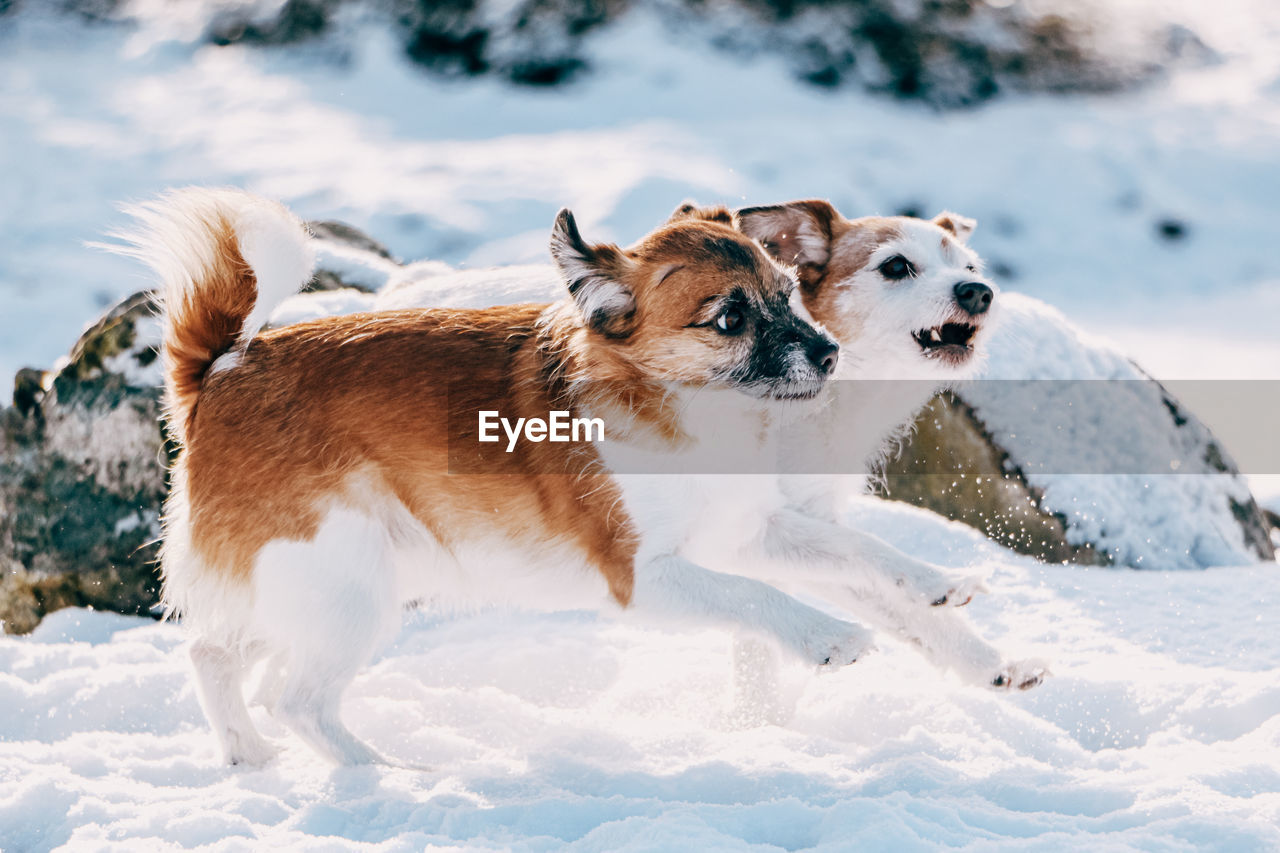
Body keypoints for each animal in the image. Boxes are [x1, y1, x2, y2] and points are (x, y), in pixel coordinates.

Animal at [120, 188, 875, 763]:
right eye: (730, 318)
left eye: (788, 293)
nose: (830, 354)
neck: (668, 401)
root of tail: (219, 373)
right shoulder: (642, 575)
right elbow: (754, 594)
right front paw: (831, 638)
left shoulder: (741, 530)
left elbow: (854, 556)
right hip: (346, 590)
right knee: (294, 700)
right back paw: (387, 774)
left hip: (328, 585)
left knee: (212, 654)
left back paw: (248, 755)